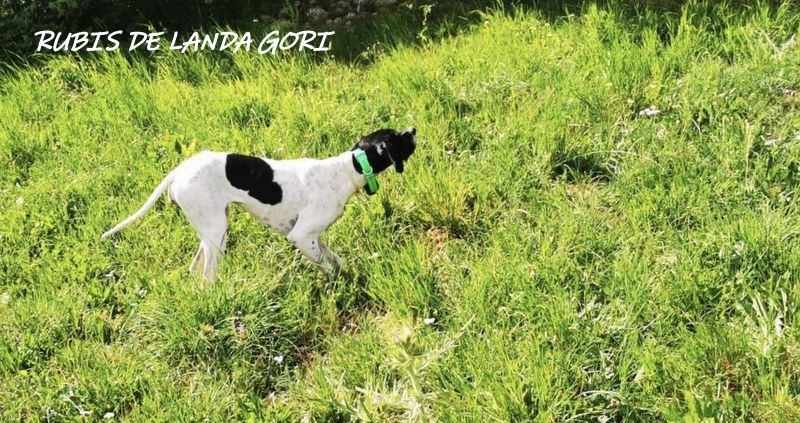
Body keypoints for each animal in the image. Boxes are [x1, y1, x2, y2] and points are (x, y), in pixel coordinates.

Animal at [102, 127, 416, 280]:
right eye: (397, 137)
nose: (412, 129)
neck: (346, 168)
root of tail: (181, 169)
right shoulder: (301, 235)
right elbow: (327, 266)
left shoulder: (314, 236)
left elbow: (334, 258)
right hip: (217, 233)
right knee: (206, 277)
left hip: (211, 232)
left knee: (195, 269)